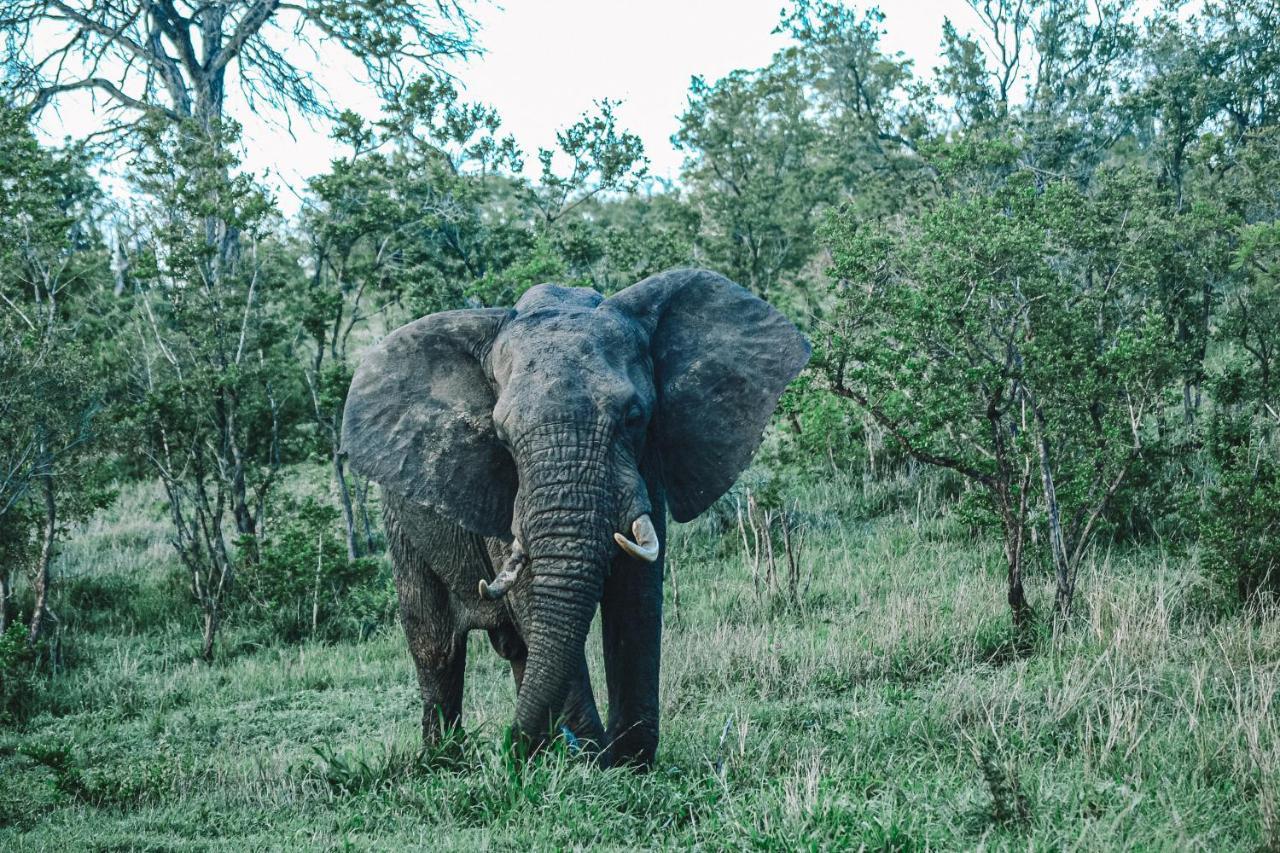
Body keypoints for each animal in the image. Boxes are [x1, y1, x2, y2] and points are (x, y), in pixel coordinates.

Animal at [340, 266, 808, 763]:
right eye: (501, 436)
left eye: (634, 417)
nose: (507, 746)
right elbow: (531, 592)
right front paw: (593, 761)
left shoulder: (649, 459)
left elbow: (637, 594)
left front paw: (627, 762)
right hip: (397, 519)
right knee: (435, 645)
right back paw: (449, 759)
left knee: (517, 649)